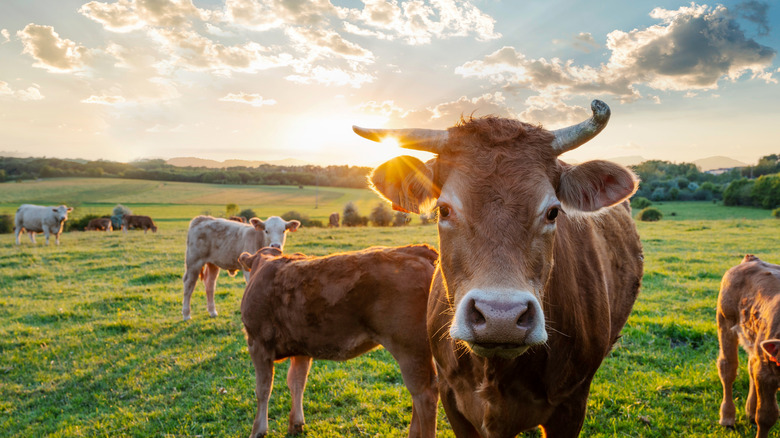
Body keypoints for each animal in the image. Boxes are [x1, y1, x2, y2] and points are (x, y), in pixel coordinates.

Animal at [238, 245, 438, 438]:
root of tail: (414, 250)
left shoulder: (257, 343)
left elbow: (263, 389)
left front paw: (257, 430)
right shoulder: (301, 349)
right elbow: (296, 382)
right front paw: (295, 424)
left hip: (409, 349)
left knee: (424, 395)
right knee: (422, 392)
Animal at [716, 255, 780, 436]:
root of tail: (752, 259)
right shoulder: (767, 372)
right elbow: (766, 415)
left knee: (752, 366)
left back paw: (750, 412)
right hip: (725, 321)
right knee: (727, 368)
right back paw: (727, 418)